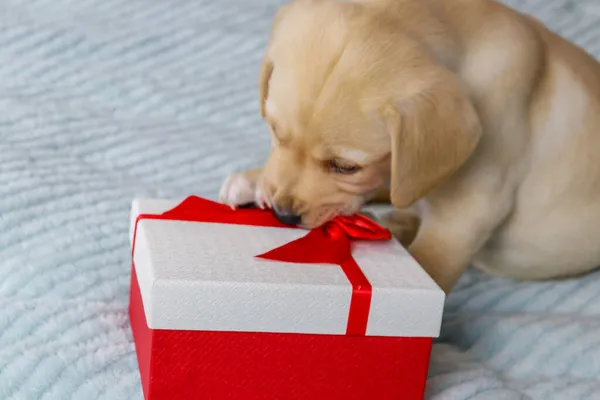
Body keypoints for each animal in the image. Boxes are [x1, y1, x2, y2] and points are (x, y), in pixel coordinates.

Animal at [218, 0, 600, 294]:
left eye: (346, 166)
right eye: (275, 133)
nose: (282, 215)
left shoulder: (464, 213)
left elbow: (430, 264)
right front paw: (255, 179)